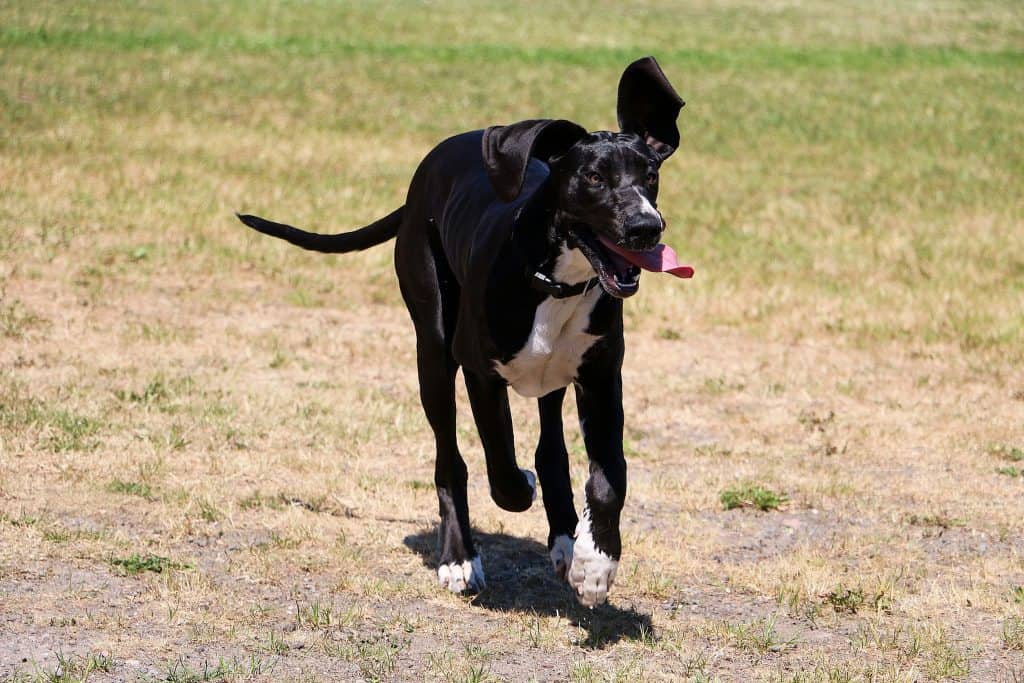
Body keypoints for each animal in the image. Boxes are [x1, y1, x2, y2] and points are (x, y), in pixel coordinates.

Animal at [238, 56, 688, 606]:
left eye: (651, 175)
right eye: (594, 177)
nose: (647, 227)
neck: (555, 280)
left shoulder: (601, 379)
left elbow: (609, 478)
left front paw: (596, 562)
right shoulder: (480, 372)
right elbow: (502, 470)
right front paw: (519, 501)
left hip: (548, 379)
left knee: (550, 451)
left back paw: (564, 540)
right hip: (432, 352)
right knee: (450, 458)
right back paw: (459, 556)